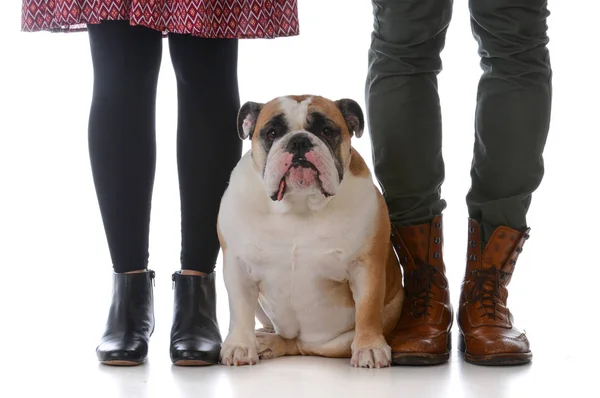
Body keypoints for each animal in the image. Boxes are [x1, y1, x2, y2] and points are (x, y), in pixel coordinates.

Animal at [216, 95, 404, 366]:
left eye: (326, 131)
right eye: (272, 133)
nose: (299, 141)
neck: (299, 203)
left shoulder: (366, 266)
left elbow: (368, 310)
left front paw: (369, 347)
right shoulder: (238, 267)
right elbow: (240, 309)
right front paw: (240, 346)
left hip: (340, 339)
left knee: (303, 346)